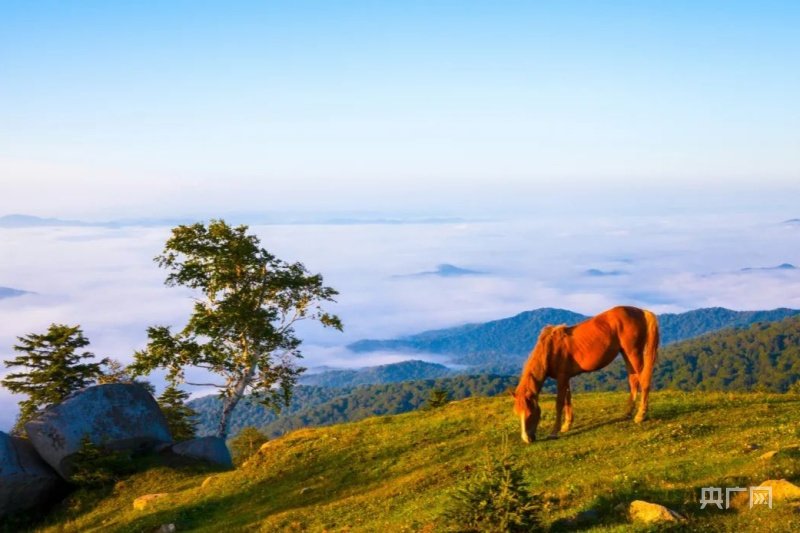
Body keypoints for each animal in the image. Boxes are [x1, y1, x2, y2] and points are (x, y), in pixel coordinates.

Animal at [516, 306, 660, 442]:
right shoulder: (566, 378)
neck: (551, 348)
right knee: (633, 380)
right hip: (626, 354)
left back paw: (640, 415)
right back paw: (628, 413)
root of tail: (642, 311)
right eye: (518, 413)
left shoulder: (562, 378)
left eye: (529, 414)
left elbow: (559, 403)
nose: (527, 439)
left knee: (644, 380)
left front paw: (554, 432)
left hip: (633, 353)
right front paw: (567, 425)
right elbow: (568, 399)